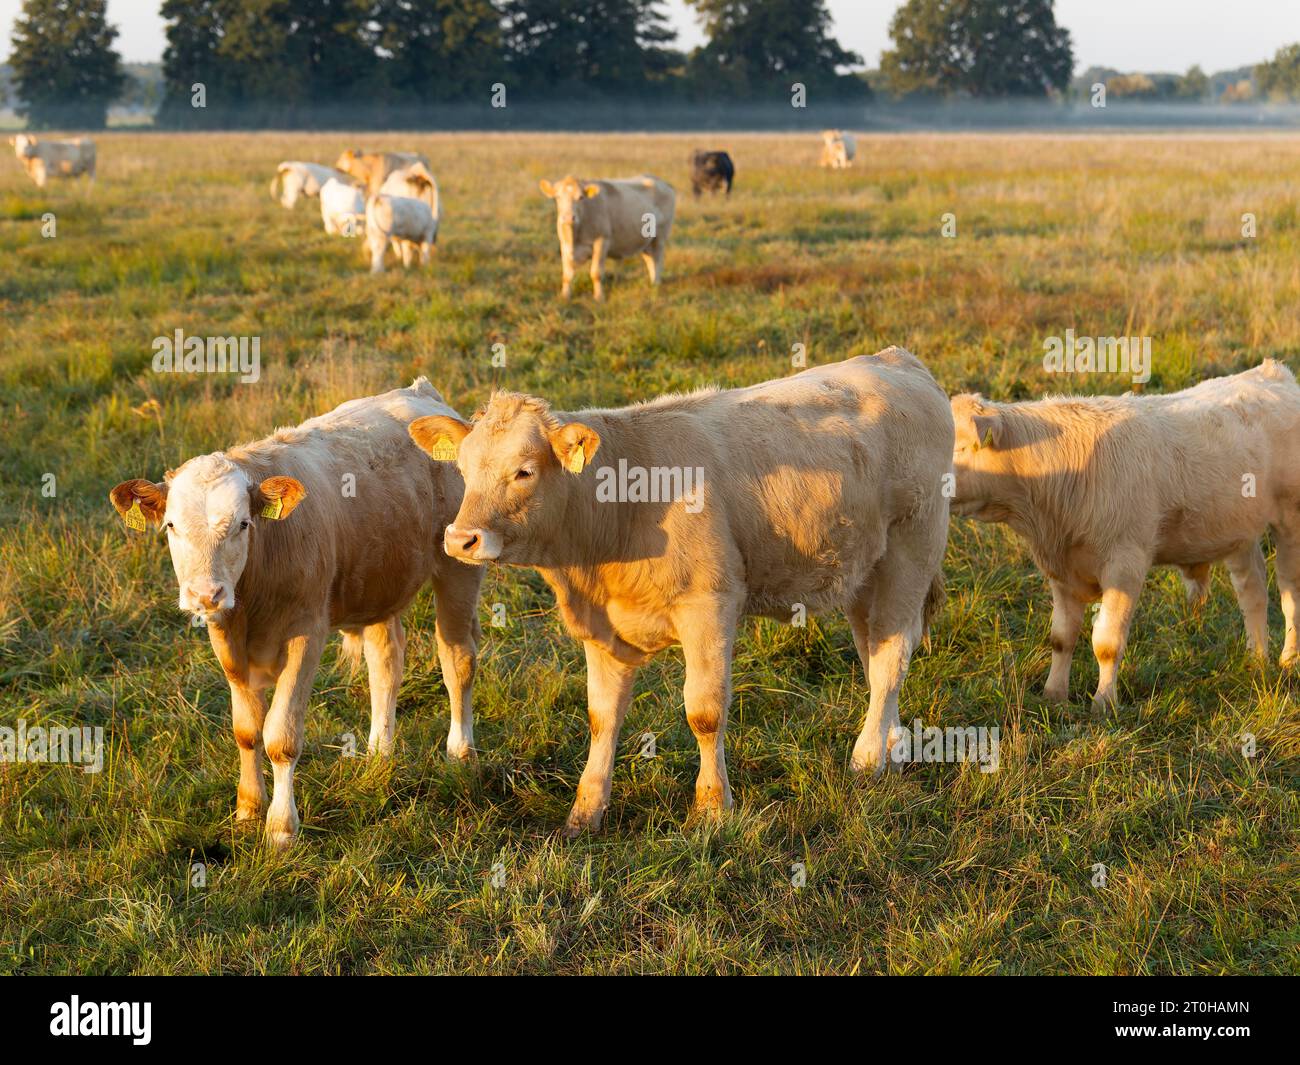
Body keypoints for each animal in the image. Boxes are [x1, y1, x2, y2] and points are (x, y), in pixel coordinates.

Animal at [109, 382, 486, 847]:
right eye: (172, 527)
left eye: (243, 524)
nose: (206, 594)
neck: (250, 604)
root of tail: (423, 394)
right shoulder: (227, 644)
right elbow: (246, 731)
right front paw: (248, 809)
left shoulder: (307, 634)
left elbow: (280, 737)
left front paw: (281, 827)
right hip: (381, 580)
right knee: (386, 663)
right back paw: (379, 754)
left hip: (458, 565)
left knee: (457, 659)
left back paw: (460, 753)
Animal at [410, 345, 951, 837]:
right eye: (462, 469)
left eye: (524, 470)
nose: (461, 539)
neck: (622, 507)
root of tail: (896, 361)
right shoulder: (602, 627)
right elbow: (602, 716)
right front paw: (586, 811)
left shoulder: (709, 607)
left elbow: (704, 712)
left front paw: (712, 808)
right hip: (864, 569)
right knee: (876, 651)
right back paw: (891, 745)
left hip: (911, 550)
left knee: (891, 656)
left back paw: (867, 758)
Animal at [540, 174, 681, 300]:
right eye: (557, 197)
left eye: (580, 197)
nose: (569, 217)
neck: (575, 235)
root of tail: (663, 183)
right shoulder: (564, 244)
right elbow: (567, 274)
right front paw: (565, 296)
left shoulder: (602, 241)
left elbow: (596, 272)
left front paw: (599, 297)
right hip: (646, 242)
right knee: (650, 259)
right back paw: (652, 283)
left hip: (660, 236)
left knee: (657, 259)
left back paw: (656, 284)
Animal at [951, 361, 1300, 712]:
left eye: (958, 444)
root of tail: (1272, 370)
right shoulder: (1061, 569)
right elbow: (1062, 637)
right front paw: (1054, 694)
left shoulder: (1125, 563)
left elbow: (1107, 642)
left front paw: (1104, 702)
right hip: (1239, 528)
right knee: (1253, 590)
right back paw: (1256, 660)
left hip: (1290, 521)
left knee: (1289, 593)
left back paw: (1289, 660)